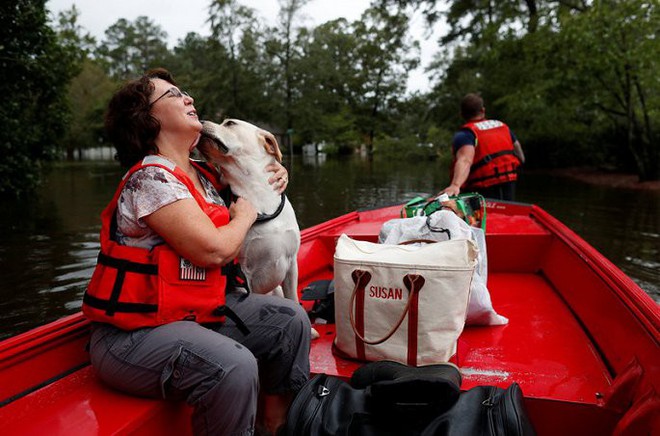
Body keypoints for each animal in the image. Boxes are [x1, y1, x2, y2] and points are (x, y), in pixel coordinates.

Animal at [196, 118, 300, 304]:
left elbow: (294, 299)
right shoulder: (243, 273)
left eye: (230, 123)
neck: (258, 194)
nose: (200, 119)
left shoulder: (292, 265)